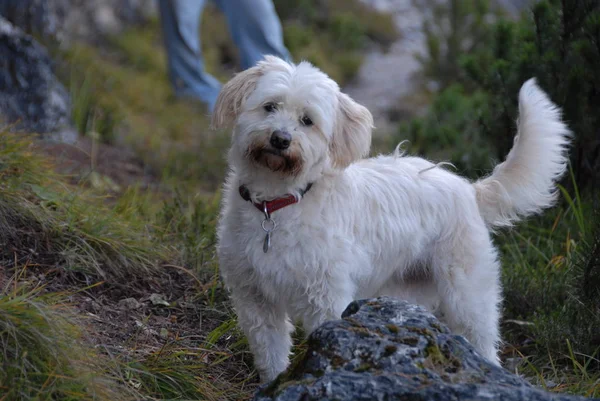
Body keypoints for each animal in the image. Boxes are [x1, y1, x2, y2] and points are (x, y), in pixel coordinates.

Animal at [213, 55, 568, 382]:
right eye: (269, 107)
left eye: (307, 120)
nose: (280, 139)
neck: (276, 204)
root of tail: (469, 189)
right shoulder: (254, 299)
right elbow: (270, 354)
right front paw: (272, 383)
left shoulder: (325, 298)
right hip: (405, 295)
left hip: (467, 297)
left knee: (483, 344)